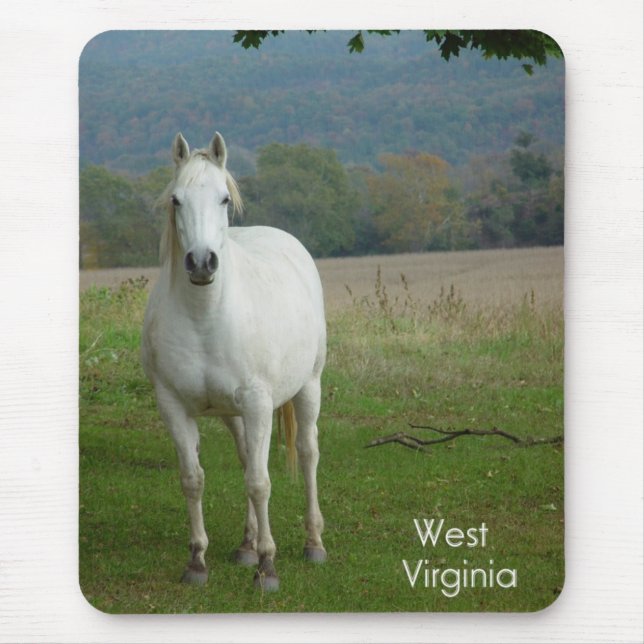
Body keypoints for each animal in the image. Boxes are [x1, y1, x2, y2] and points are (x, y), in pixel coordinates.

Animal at [141, 132, 327, 591]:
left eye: (224, 198)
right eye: (176, 200)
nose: (201, 262)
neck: (205, 317)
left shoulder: (259, 404)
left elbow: (260, 483)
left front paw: (268, 567)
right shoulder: (173, 406)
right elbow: (193, 480)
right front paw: (197, 562)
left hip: (309, 387)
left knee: (307, 452)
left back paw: (313, 542)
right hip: (233, 413)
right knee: (247, 456)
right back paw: (245, 546)